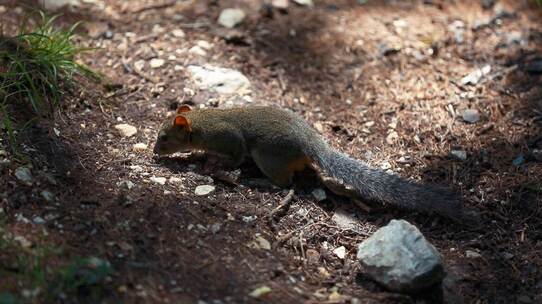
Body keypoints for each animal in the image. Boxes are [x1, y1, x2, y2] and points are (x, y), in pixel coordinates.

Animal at [155, 105, 466, 220]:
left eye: (165, 137)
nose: (155, 152)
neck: (202, 123)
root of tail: (310, 143)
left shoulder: (229, 140)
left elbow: (234, 157)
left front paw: (211, 163)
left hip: (268, 156)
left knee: (285, 182)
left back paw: (257, 180)